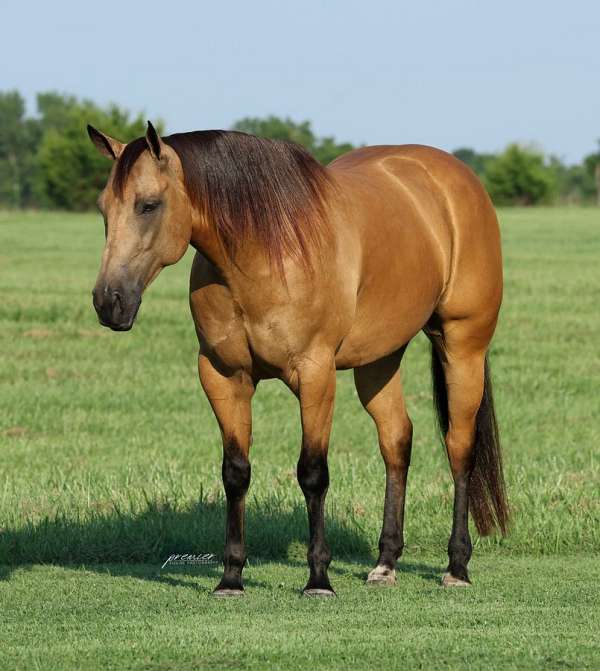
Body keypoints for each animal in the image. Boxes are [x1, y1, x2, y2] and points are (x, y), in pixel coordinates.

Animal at [87, 121, 508, 597]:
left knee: (459, 446)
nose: (109, 302)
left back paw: (457, 566)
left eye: (148, 205)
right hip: (380, 359)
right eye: (104, 208)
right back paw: (385, 563)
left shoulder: (315, 374)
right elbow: (235, 472)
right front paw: (231, 577)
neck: (262, 252)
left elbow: (312, 472)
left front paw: (318, 578)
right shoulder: (222, 376)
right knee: (396, 440)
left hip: (463, 345)